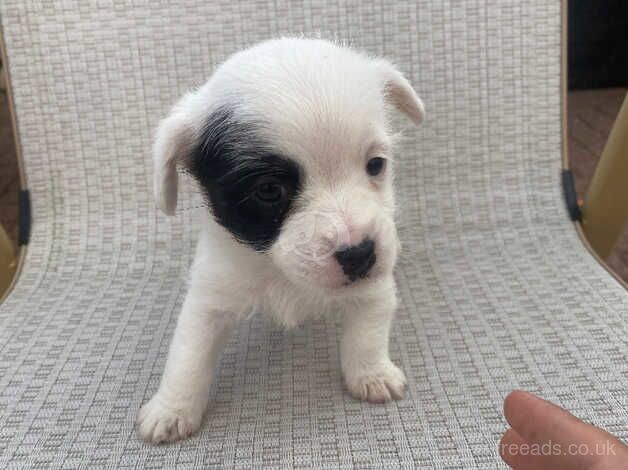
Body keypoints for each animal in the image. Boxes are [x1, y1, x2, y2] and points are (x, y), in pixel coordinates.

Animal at [136, 37, 422, 444]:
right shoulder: (211, 295)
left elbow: (367, 334)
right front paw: (172, 408)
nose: (360, 254)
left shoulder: (373, 287)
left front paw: (372, 373)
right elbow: (188, 355)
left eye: (376, 165)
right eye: (269, 190)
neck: (280, 270)